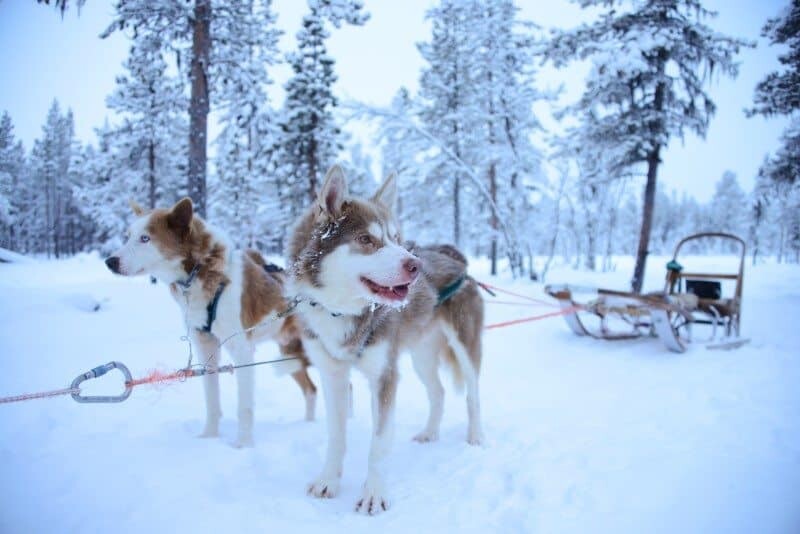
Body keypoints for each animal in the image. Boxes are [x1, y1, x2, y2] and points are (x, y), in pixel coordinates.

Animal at [104, 199, 318, 450]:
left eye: (145, 238)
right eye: (128, 236)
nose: (110, 261)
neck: (203, 271)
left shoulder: (242, 350)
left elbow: (244, 406)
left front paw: (243, 444)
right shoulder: (206, 347)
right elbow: (212, 399)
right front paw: (209, 436)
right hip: (289, 354)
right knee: (312, 390)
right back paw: (308, 425)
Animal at [290, 166, 484, 516]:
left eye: (395, 239)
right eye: (367, 240)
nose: (415, 265)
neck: (342, 311)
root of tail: (455, 257)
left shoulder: (384, 376)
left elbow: (378, 445)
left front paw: (373, 494)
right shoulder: (332, 375)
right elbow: (336, 435)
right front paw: (328, 480)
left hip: (465, 347)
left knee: (472, 394)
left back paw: (476, 437)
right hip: (421, 356)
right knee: (438, 392)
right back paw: (429, 432)